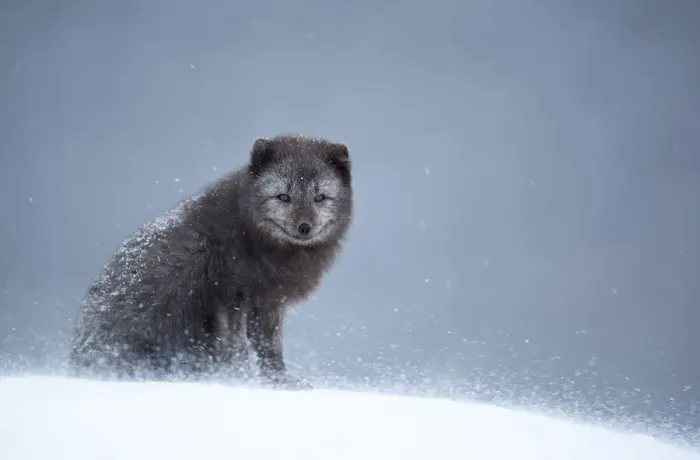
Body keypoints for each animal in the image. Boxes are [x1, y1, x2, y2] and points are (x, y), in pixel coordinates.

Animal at [68, 133, 353, 389]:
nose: (304, 227)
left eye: (320, 197)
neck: (249, 236)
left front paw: (277, 381)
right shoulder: (231, 297)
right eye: (283, 197)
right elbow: (241, 348)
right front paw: (243, 381)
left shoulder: (267, 301)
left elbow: (268, 349)